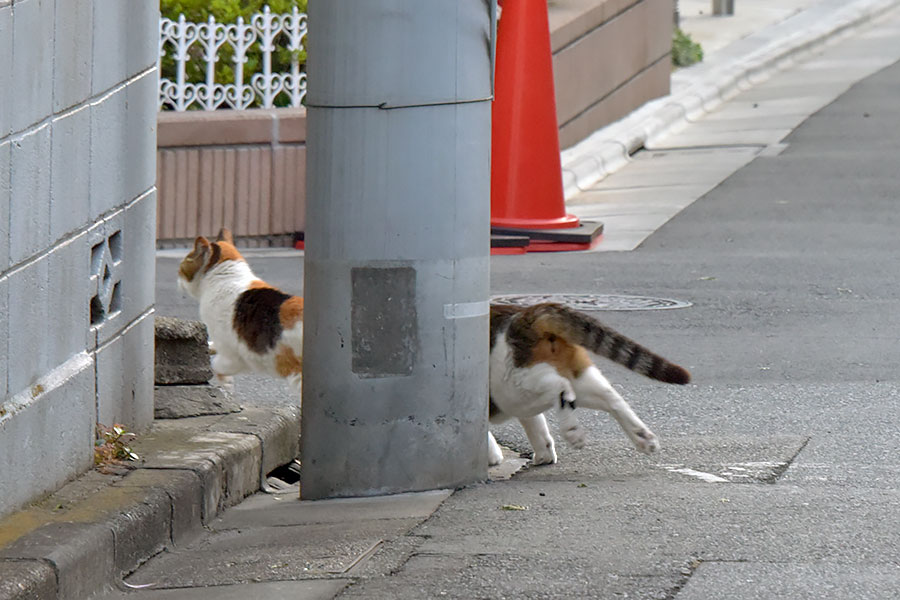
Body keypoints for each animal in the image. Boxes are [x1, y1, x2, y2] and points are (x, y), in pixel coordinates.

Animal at [178, 227, 304, 392]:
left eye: (182, 266)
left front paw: (226, 384)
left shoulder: (233, 355)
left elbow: (216, 365)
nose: (178, 278)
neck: (226, 278)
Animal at [486, 302, 688, 466]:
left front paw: (492, 456)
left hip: (509, 388)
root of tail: (526, 313)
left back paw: (572, 431)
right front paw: (544, 452)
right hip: (573, 376)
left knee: (560, 386)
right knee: (610, 397)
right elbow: (535, 424)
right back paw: (643, 437)